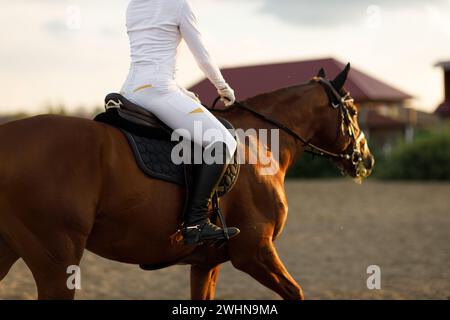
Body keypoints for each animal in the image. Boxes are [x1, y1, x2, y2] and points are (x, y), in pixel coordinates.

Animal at [0, 63, 372, 298]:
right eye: (353, 111)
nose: (366, 159)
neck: (261, 145)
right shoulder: (255, 251)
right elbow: (296, 292)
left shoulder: (206, 264)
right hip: (56, 261)